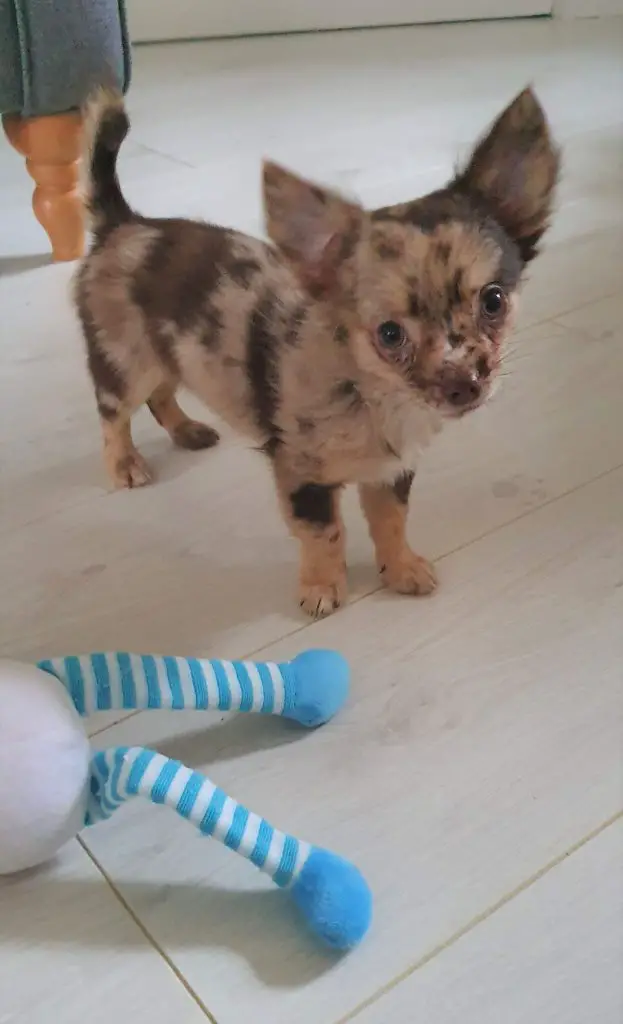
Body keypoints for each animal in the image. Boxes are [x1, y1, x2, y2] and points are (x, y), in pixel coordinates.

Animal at [74, 86, 561, 614]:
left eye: (494, 301)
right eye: (390, 334)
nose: (464, 385)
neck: (373, 393)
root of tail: (124, 224)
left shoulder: (391, 471)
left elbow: (391, 521)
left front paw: (402, 569)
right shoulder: (300, 475)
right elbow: (324, 532)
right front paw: (323, 588)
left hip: (165, 354)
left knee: (161, 395)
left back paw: (187, 430)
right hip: (126, 361)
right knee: (114, 414)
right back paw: (125, 464)